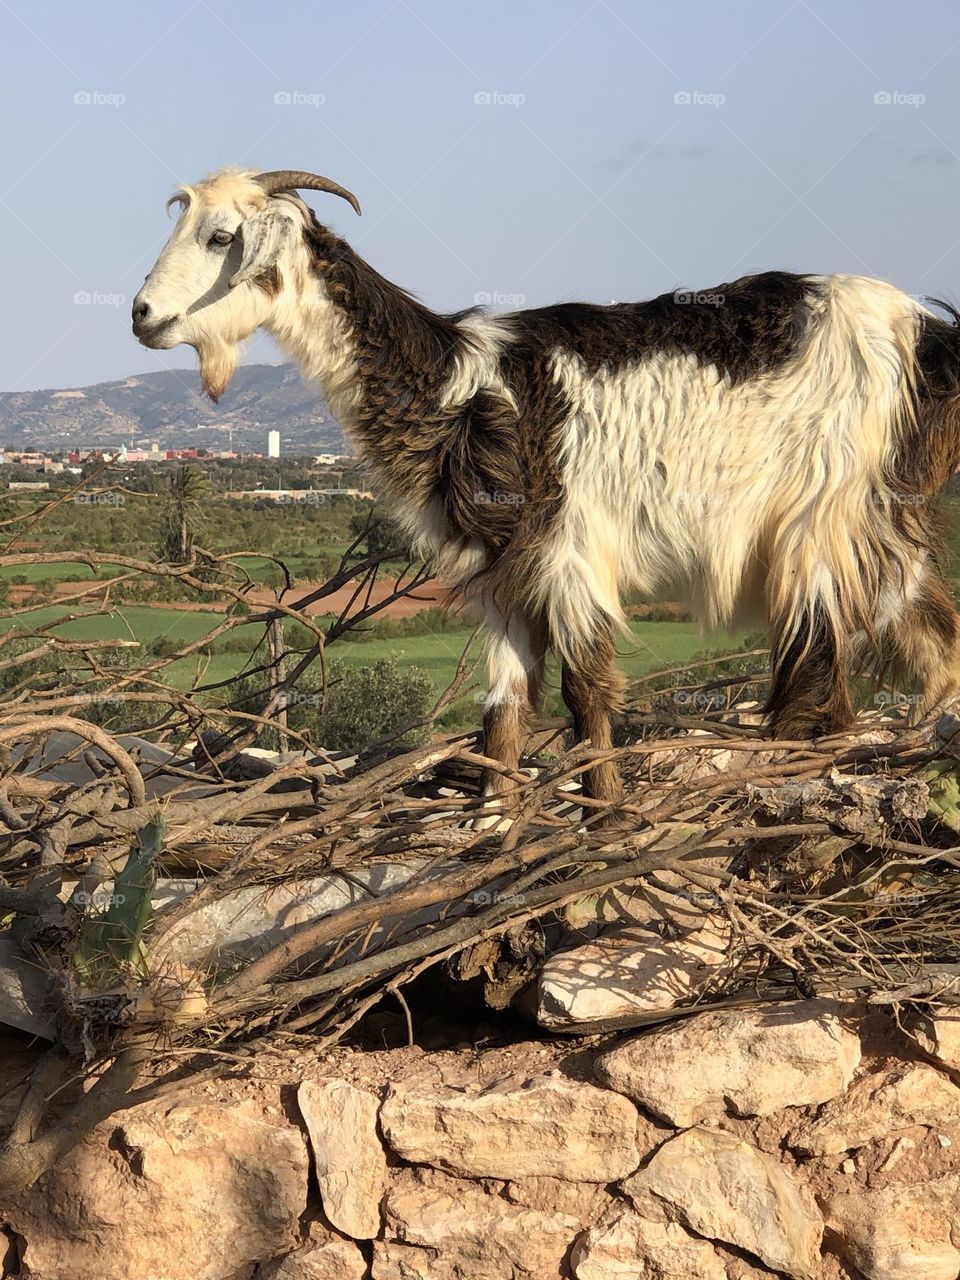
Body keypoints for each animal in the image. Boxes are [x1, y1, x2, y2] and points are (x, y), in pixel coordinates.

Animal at [135, 167, 960, 819]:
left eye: (221, 237)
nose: (142, 314)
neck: (460, 383)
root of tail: (928, 334)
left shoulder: (570, 552)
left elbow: (586, 693)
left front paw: (606, 814)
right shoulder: (503, 578)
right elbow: (503, 713)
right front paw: (491, 823)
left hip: (825, 517)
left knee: (821, 666)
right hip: (886, 522)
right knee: (930, 640)